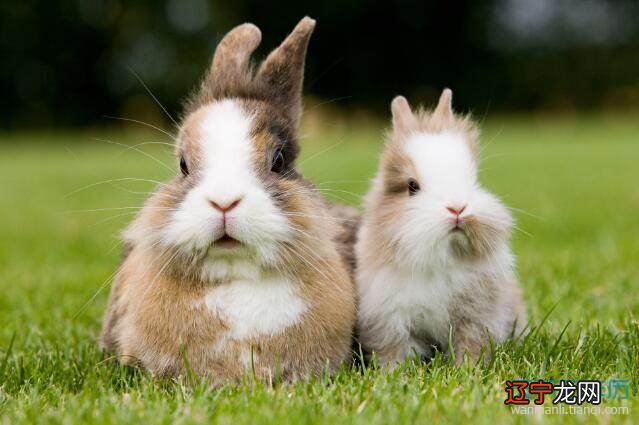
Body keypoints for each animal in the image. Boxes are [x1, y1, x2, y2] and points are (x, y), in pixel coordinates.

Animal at [356, 89, 524, 364]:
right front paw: (396, 372)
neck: (440, 258)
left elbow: (470, 347)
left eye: (474, 179)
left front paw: (467, 369)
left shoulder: (476, 319)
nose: (457, 208)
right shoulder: (389, 320)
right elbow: (395, 353)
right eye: (412, 186)